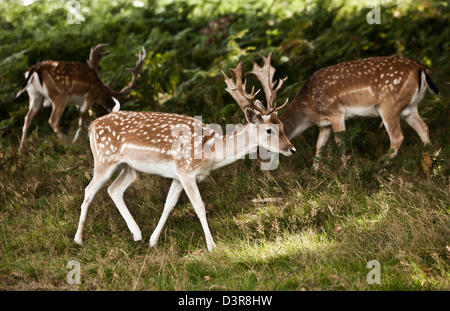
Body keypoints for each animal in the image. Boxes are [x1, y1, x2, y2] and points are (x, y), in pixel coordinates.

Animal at [15, 43, 145, 151]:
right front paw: (77, 140)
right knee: (53, 120)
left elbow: (84, 117)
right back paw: (66, 143)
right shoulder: (89, 96)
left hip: (34, 96)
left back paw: (21, 150)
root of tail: (34, 69)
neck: (100, 89)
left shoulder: (77, 102)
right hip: (59, 95)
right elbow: (83, 117)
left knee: (27, 118)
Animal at [73, 53, 296, 252]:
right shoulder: (186, 171)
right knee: (89, 190)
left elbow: (169, 204)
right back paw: (78, 239)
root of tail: (93, 126)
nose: (291, 148)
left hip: (129, 167)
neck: (210, 151)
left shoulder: (178, 175)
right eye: (269, 130)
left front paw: (153, 241)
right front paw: (212, 246)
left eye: (282, 124)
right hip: (104, 159)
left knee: (114, 190)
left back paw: (137, 235)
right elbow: (199, 206)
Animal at [282, 56, 440, 168]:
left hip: (389, 104)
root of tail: (421, 67)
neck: (307, 108)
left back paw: (381, 165)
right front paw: (315, 171)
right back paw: (431, 159)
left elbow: (340, 142)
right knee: (423, 127)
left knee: (397, 137)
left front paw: (344, 170)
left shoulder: (335, 111)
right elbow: (319, 145)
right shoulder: (324, 124)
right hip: (410, 107)